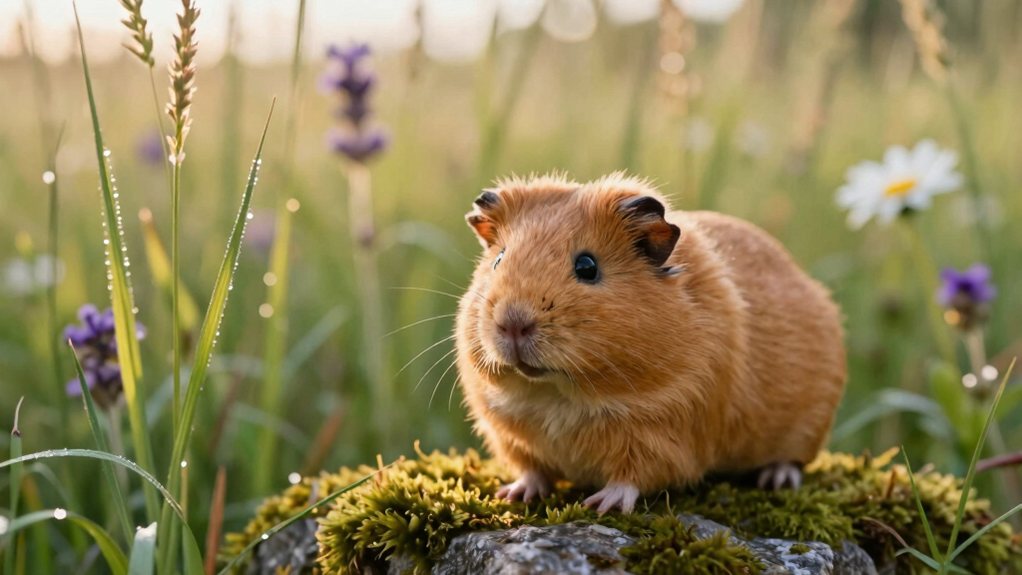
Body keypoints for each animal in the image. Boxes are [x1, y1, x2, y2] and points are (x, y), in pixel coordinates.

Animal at [455, 173, 846, 514]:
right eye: (499, 259)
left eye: (587, 267)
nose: (513, 324)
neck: (559, 395)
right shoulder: (510, 436)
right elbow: (532, 471)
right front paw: (513, 495)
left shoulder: (663, 433)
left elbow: (632, 477)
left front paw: (601, 505)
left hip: (808, 429)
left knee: (793, 460)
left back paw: (776, 479)